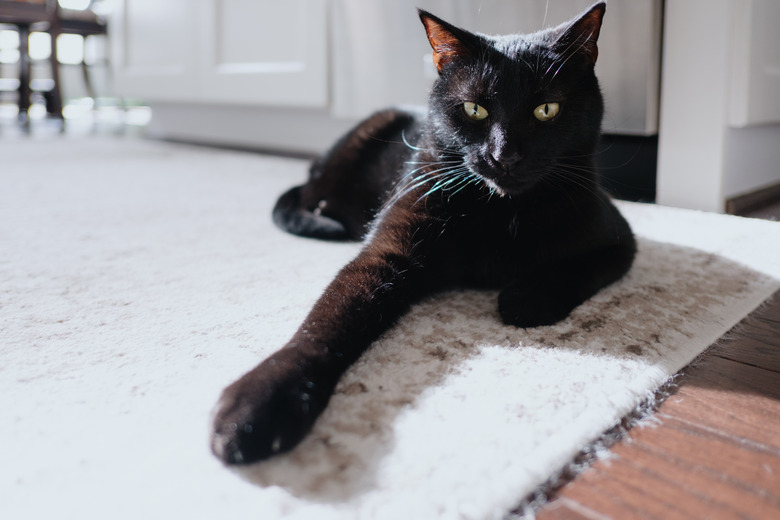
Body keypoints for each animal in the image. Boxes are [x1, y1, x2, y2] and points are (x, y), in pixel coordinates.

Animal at [212, 2, 632, 466]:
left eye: (546, 110)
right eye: (474, 110)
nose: (503, 155)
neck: (502, 210)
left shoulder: (618, 237)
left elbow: (581, 269)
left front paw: (528, 296)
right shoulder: (387, 252)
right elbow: (328, 318)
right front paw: (261, 403)